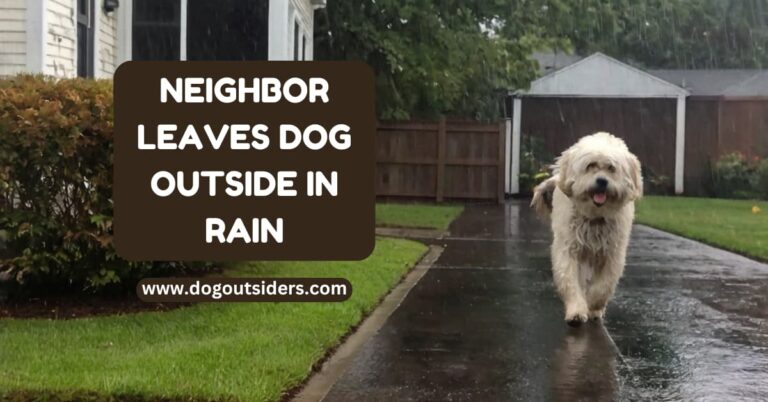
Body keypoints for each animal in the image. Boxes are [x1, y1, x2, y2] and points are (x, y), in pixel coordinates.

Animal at [528, 133, 640, 326]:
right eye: (590, 166)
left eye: (611, 168)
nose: (602, 181)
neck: (595, 217)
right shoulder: (568, 249)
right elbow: (570, 281)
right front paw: (576, 311)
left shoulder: (613, 254)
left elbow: (604, 285)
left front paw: (593, 303)